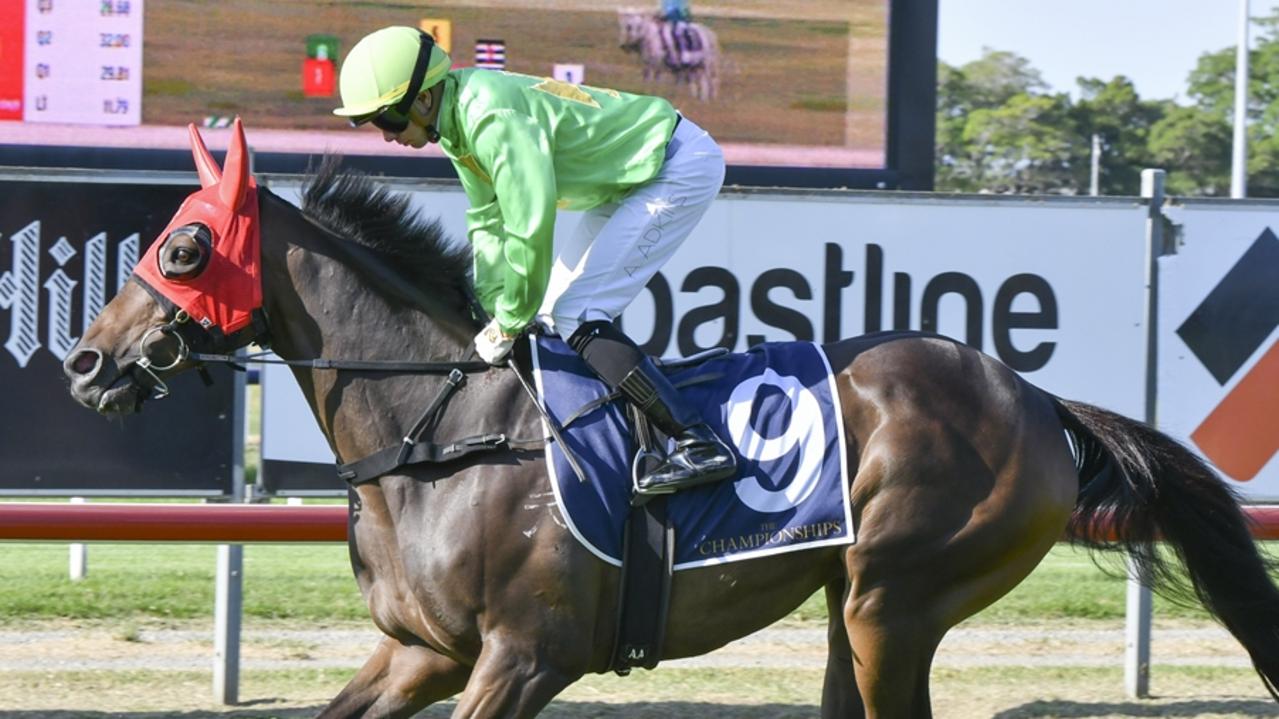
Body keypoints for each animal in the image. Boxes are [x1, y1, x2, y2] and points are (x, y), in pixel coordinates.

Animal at [64, 120, 1279, 711]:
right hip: (856, 605)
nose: (85, 360)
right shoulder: (421, 652)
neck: (439, 431)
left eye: (183, 244)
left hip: (896, 597)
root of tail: (1036, 398)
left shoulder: (523, 655)